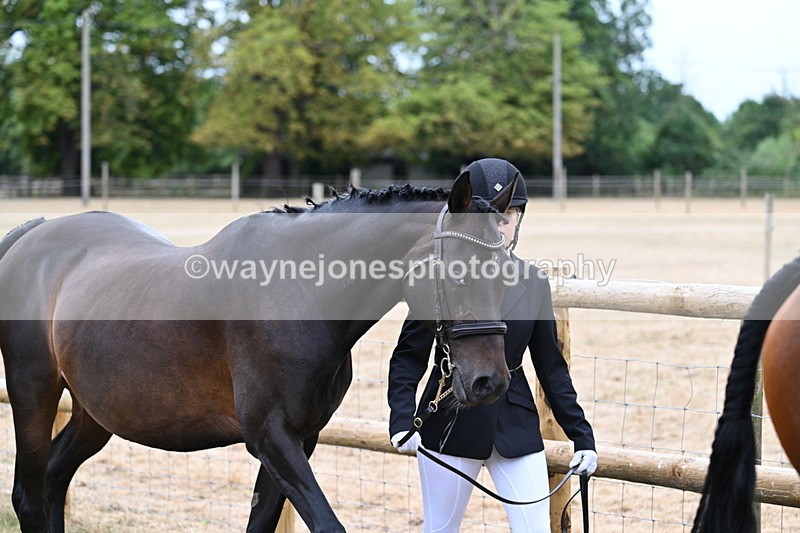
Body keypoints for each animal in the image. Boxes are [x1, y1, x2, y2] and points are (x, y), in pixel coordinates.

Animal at [0, 172, 519, 533]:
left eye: (505, 273)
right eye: (458, 273)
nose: (489, 382)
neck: (297, 293)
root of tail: (31, 236)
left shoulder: (301, 438)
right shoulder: (270, 437)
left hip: (96, 411)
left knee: (54, 478)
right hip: (33, 393)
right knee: (28, 494)